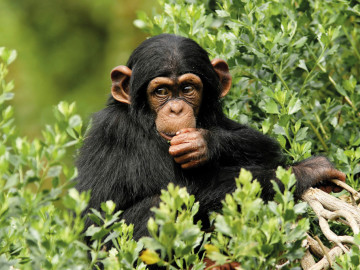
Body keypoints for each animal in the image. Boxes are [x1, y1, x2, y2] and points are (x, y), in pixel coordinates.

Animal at [75, 32, 346, 262]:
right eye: (161, 91)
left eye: (187, 89)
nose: (176, 109)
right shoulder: (122, 132)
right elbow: (181, 189)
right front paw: (307, 170)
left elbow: (264, 145)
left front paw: (204, 143)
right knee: (159, 206)